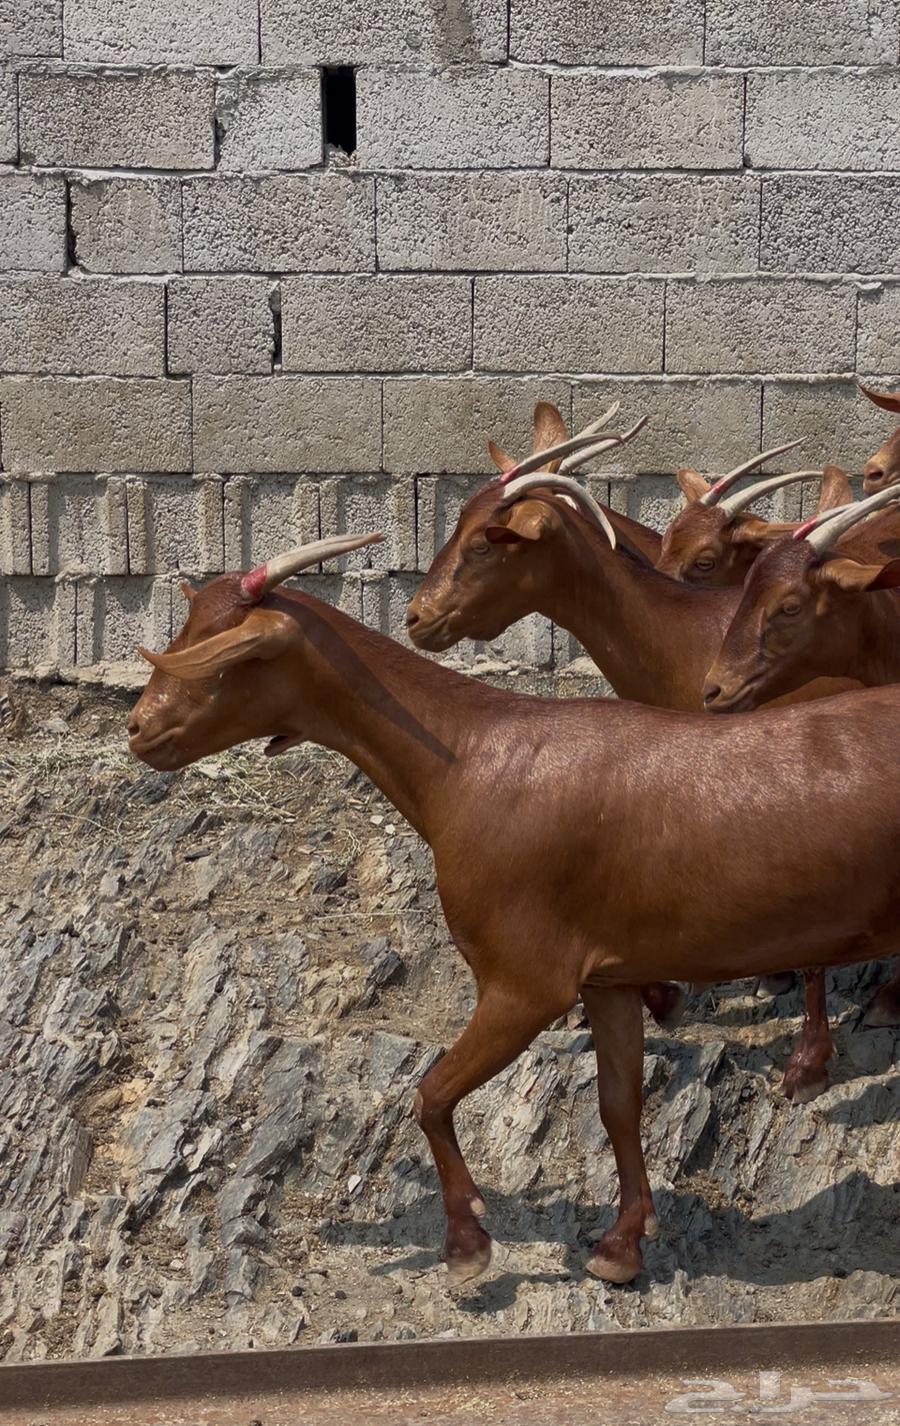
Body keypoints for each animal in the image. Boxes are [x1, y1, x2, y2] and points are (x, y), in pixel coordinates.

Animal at [130, 531, 900, 1287]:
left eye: (235, 652)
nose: (138, 728)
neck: (467, 760)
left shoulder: (524, 983)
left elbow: (432, 1094)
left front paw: (467, 1241)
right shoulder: (608, 976)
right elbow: (618, 1105)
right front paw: (622, 1245)